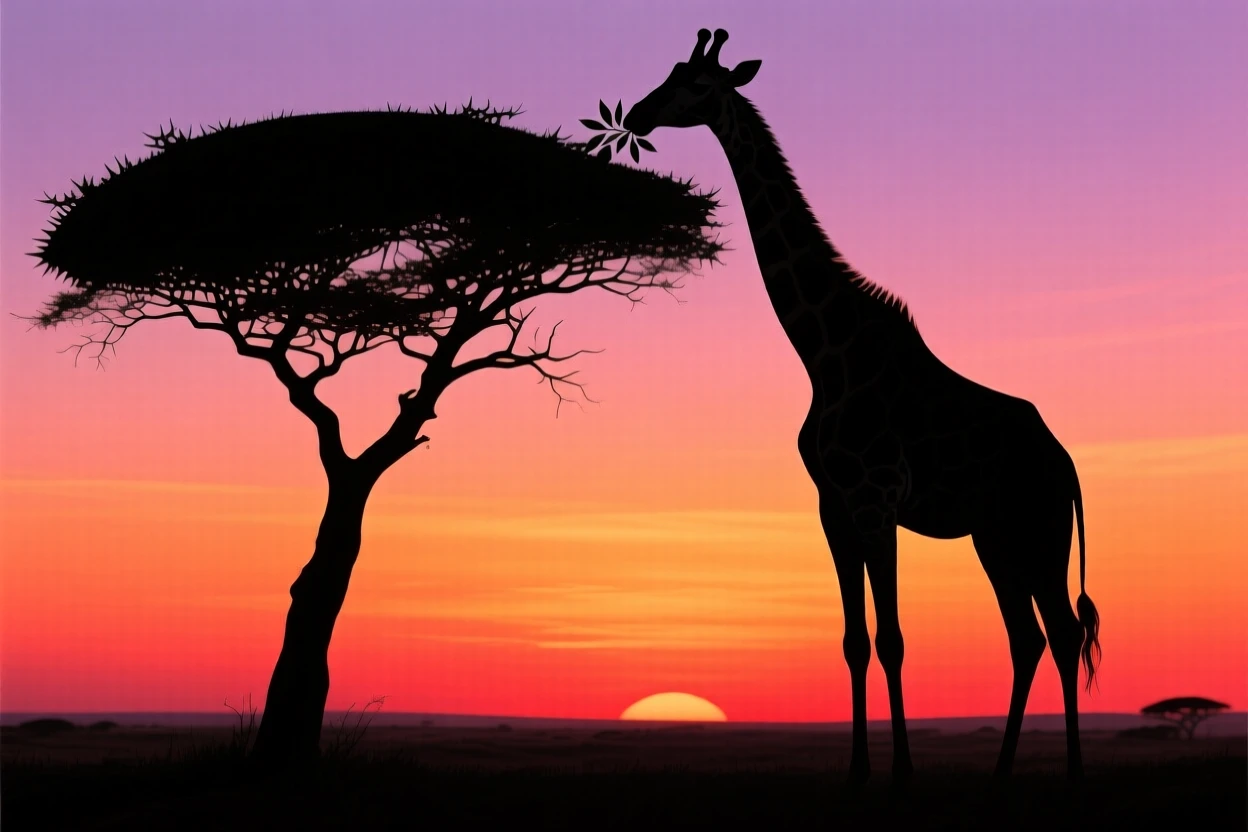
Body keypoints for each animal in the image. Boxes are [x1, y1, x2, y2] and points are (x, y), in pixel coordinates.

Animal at [624, 29, 1101, 783]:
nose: (639, 113)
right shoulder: (833, 507)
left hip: (1041, 530)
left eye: (698, 84)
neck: (823, 353)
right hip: (995, 536)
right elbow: (853, 640)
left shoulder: (876, 502)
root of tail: (1067, 464)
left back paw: (1074, 772)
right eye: (669, 72)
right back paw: (1000, 773)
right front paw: (856, 770)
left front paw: (901, 771)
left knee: (1062, 630)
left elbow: (893, 638)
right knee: (1027, 638)